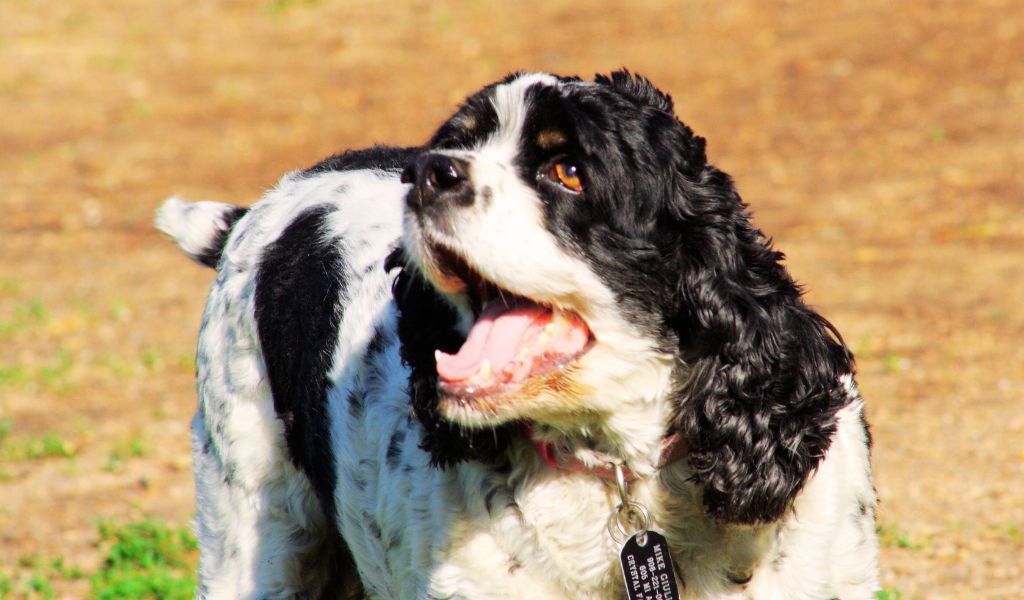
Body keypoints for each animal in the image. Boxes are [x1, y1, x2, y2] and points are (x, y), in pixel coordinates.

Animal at [157, 71, 880, 597]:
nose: (428, 172)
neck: (621, 469)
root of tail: (255, 209)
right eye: (460, 142)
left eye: (568, 170)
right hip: (249, 531)